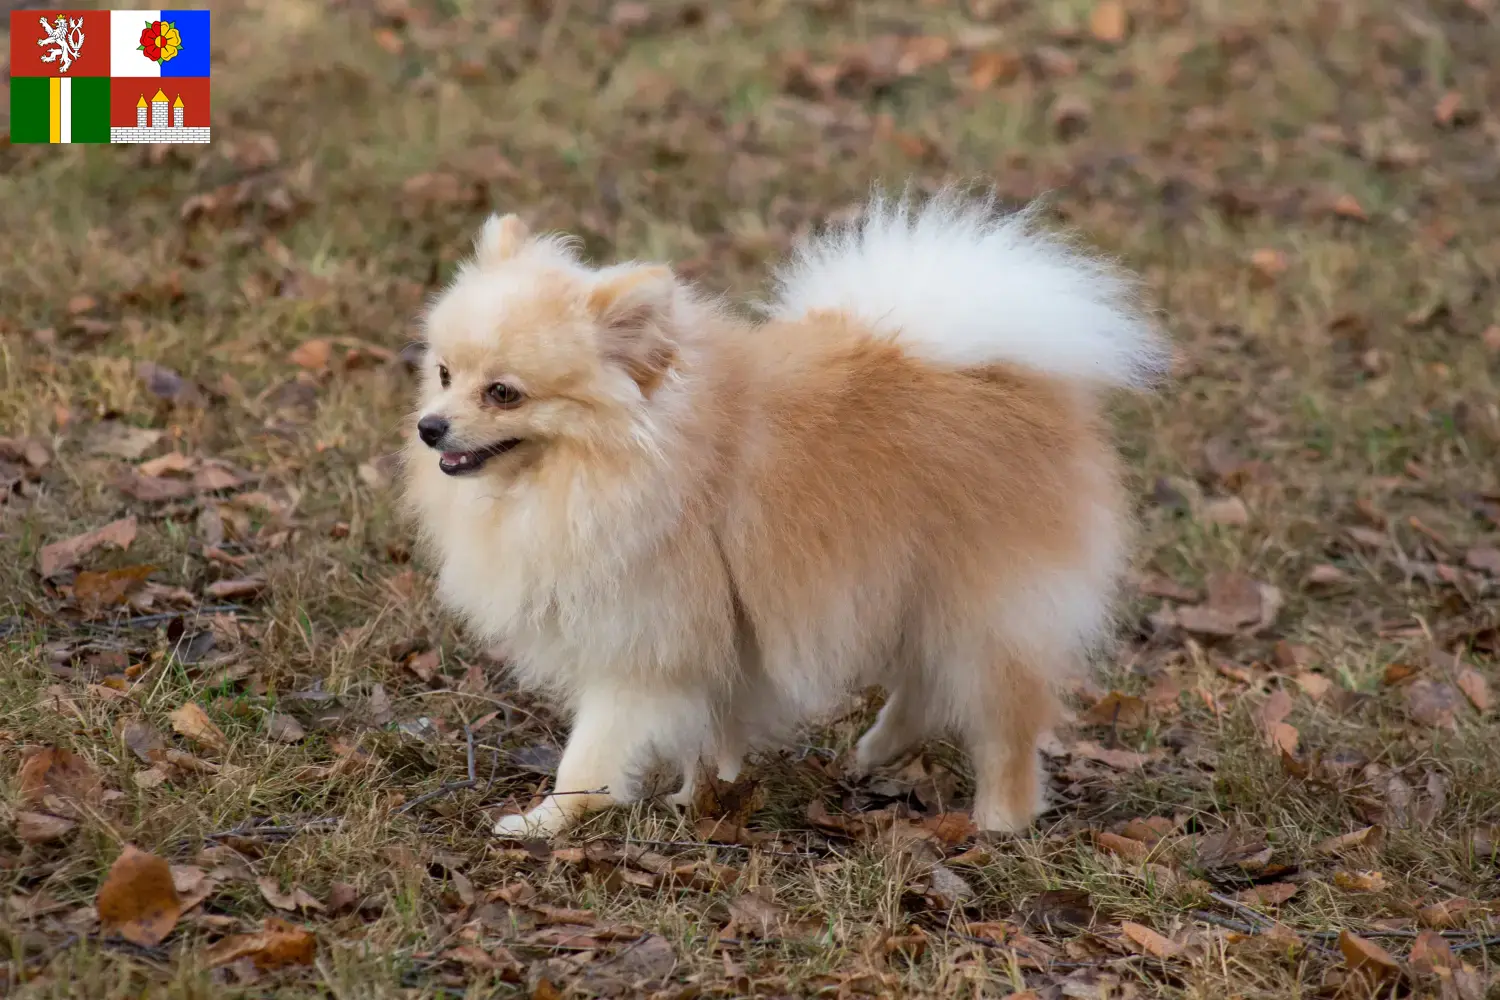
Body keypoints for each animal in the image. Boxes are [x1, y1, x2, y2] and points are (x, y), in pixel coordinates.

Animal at [405, 187, 1164, 839]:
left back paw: (999, 821)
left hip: (984, 602)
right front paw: (699, 793)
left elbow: (591, 753)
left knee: (1004, 720)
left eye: (504, 393)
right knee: (922, 682)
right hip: (910, 585)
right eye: (444, 374)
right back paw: (876, 750)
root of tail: (1013, 369)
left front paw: (545, 821)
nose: (430, 427)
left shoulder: (642, 643)